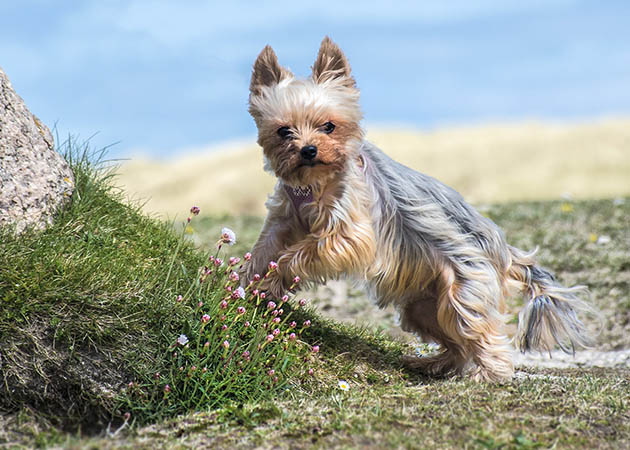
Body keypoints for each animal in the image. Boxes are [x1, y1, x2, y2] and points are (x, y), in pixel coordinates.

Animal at [244, 37, 600, 382]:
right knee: (457, 344)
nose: (308, 150)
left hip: (465, 289)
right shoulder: (281, 220)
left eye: (329, 126)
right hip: (423, 306)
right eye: (283, 131)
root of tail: (506, 253)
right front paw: (247, 283)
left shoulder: (348, 233)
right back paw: (432, 364)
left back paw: (488, 375)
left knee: (479, 333)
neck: (313, 184)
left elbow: (296, 255)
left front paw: (271, 282)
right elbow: (263, 251)